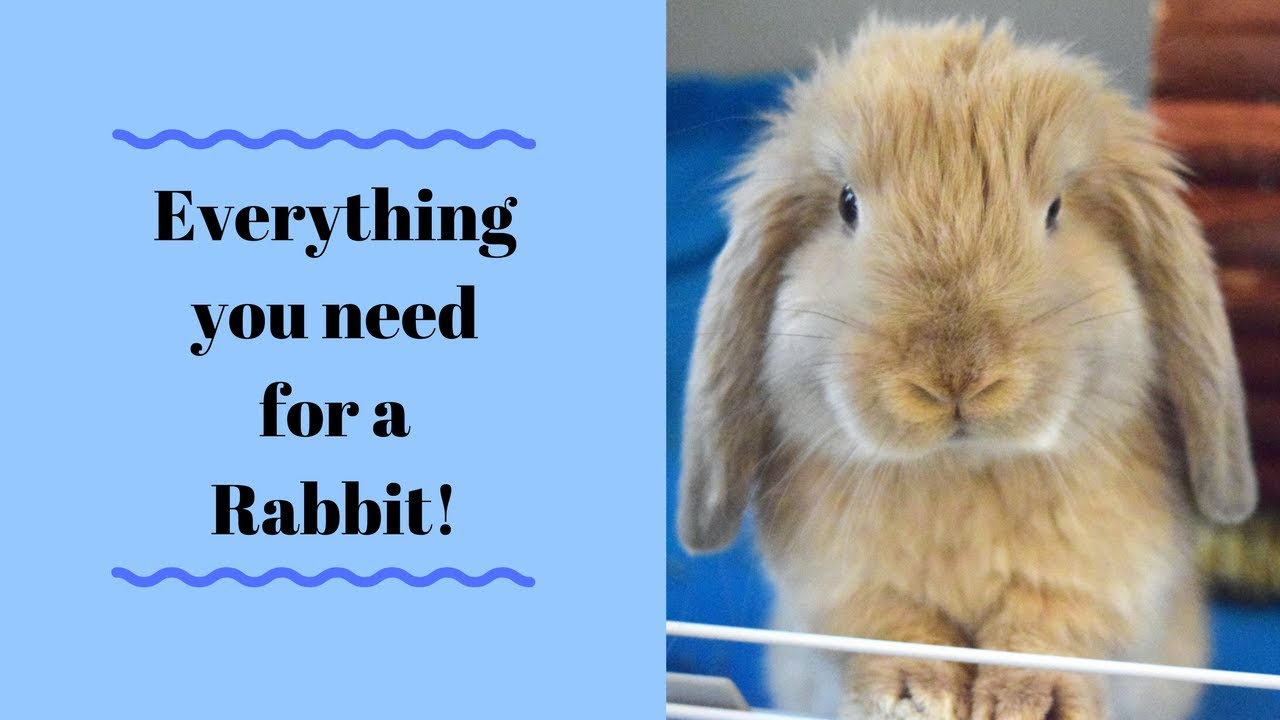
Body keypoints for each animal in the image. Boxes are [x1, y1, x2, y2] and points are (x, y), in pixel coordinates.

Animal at [677, 18, 1257, 720]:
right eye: (847, 204)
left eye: (1055, 210)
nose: (955, 378)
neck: (962, 466)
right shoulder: (847, 590)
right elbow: (894, 632)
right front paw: (913, 698)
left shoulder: (1096, 585)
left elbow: (1044, 638)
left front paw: (1028, 704)